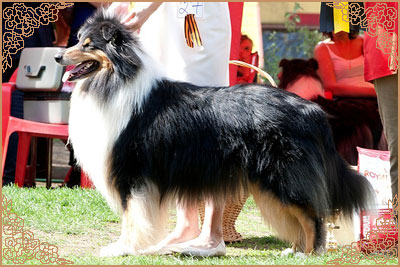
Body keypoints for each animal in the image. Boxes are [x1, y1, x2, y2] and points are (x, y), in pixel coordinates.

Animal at [54, 11, 374, 258]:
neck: (116, 80)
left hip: (284, 176)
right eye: (78, 39)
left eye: (88, 45)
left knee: (312, 215)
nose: (57, 55)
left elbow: (130, 217)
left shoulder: (131, 172)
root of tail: (312, 110)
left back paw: (308, 254)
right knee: (299, 217)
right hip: (273, 183)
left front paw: (121, 249)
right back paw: (293, 250)